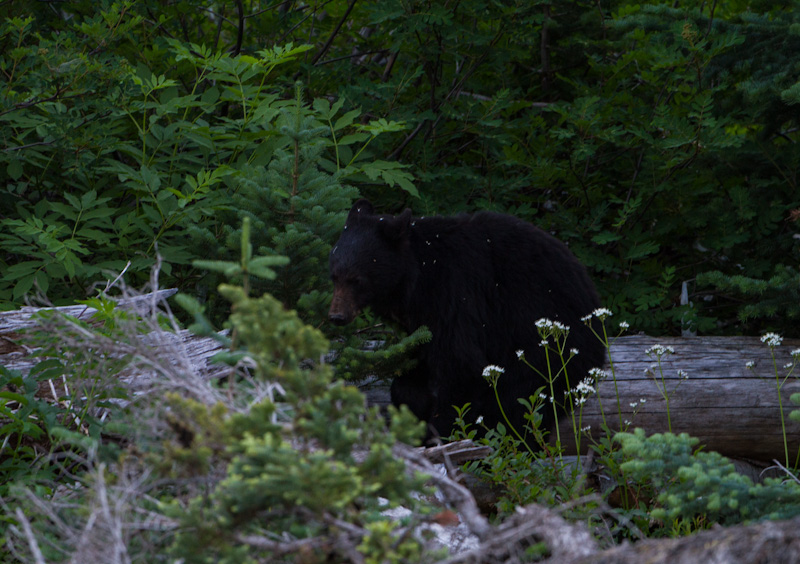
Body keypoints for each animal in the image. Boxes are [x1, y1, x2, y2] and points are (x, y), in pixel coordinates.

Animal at [328, 200, 604, 442]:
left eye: (357, 280)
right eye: (334, 276)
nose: (336, 316)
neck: (416, 276)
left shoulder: (454, 295)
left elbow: (461, 366)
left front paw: (440, 435)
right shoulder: (419, 319)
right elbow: (416, 360)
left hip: (546, 350)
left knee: (517, 403)